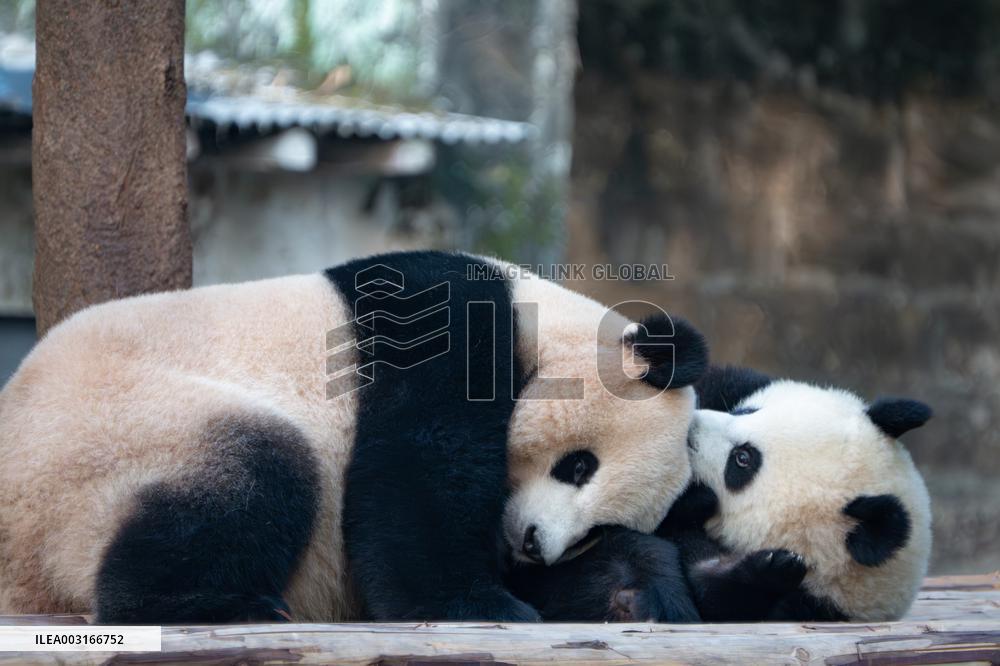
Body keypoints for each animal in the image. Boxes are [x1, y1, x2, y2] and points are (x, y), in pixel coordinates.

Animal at [0, 250, 706, 623]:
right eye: (579, 465)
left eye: (593, 528)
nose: (534, 543)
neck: (545, 324)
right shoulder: (447, 329)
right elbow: (416, 476)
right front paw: (479, 605)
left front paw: (637, 594)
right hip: (112, 430)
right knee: (259, 467)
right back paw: (222, 605)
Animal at [509, 365, 932, 623]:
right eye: (748, 411)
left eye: (742, 460)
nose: (688, 427)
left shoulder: (806, 605)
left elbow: (710, 586)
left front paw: (771, 568)